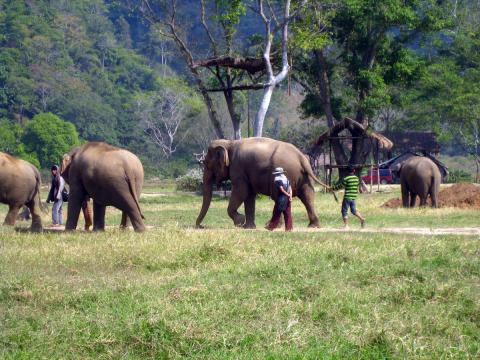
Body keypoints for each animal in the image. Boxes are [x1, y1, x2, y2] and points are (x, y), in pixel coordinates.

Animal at [195, 137, 330, 228]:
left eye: (207, 164)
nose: (201, 226)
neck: (229, 143)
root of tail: (301, 158)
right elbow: (249, 196)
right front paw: (248, 227)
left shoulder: (238, 169)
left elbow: (241, 191)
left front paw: (240, 222)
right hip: (304, 178)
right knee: (307, 197)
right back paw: (313, 226)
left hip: (285, 175)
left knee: (281, 197)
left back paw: (271, 226)